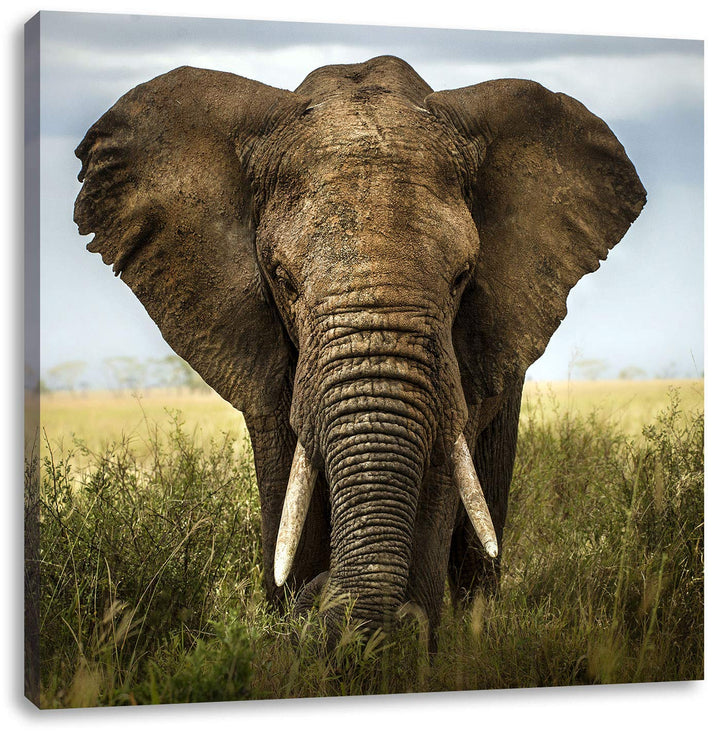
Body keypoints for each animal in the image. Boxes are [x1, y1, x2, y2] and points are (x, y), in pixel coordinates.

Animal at [74, 55, 645, 644]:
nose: (322, 597)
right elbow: (287, 486)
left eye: (462, 278)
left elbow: (440, 475)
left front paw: (402, 640)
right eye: (283, 280)